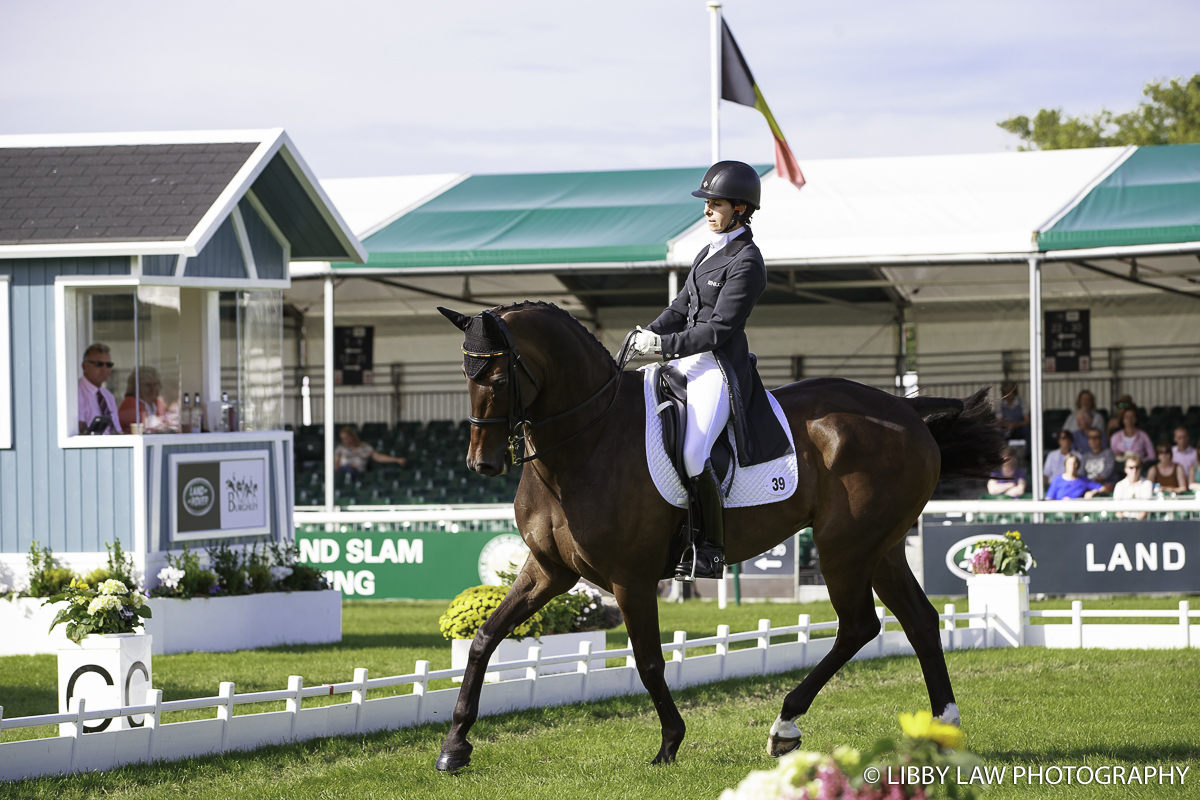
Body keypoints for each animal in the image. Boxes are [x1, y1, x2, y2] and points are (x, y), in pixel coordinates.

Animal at [436, 299, 1008, 767]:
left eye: (498, 377)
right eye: (465, 374)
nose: (482, 464)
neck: (587, 441)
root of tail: (904, 409)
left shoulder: (630, 578)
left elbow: (649, 661)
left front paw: (669, 743)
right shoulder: (548, 571)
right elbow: (485, 638)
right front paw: (455, 746)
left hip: (843, 548)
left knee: (859, 626)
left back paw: (785, 726)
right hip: (882, 547)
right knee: (919, 621)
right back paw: (944, 728)